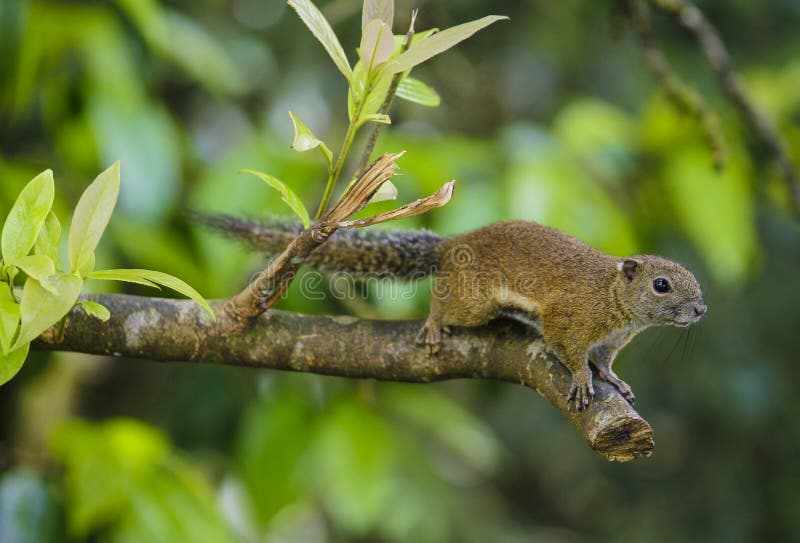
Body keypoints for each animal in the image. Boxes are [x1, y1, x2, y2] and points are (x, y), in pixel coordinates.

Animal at [200, 216, 707, 410]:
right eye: (662, 285)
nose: (701, 310)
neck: (615, 302)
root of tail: (451, 244)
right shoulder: (569, 320)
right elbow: (570, 352)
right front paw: (583, 381)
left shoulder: (612, 341)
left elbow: (604, 361)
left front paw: (614, 380)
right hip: (472, 300)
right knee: (443, 300)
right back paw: (432, 325)